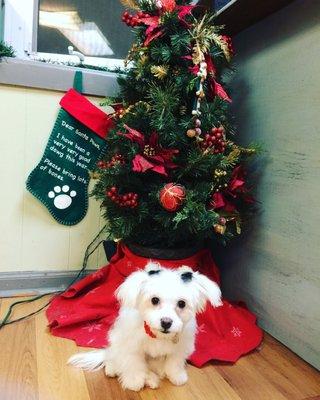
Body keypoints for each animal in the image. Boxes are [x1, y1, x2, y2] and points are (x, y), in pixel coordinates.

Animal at [68, 262, 221, 390]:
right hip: (116, 343)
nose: (166, 322)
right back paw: (115, 369)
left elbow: (174, 361)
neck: (157, 335)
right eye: (154, 300)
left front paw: (176, 375)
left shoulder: (180, 346)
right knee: (115, 358)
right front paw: (134, 381)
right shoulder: (132, 346)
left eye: (182, 303)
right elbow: (134, 364)